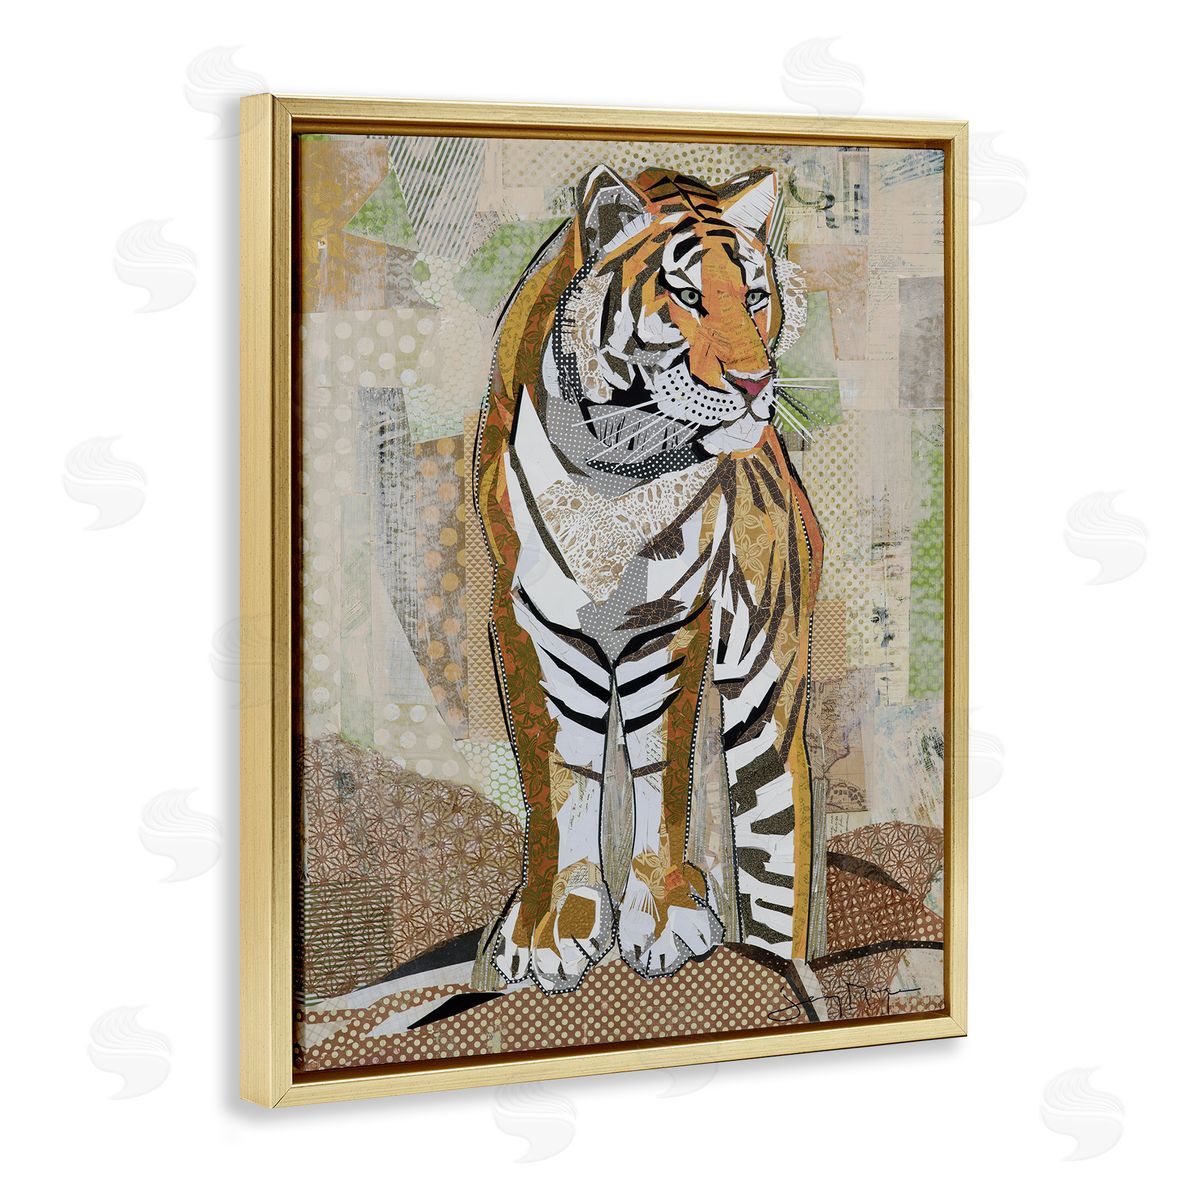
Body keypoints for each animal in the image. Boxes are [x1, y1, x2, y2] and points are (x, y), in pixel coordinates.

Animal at [473, 163, 823, 994]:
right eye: (689, 297)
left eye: (754, 296)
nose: (755, 381)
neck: (615, 469)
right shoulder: (529, 617)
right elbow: (558, 777)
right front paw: (549, 931)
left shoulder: (668, 623)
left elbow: (663, 777)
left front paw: (664, 921)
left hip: (768, 703)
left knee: (774, 847)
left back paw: (783, 960)